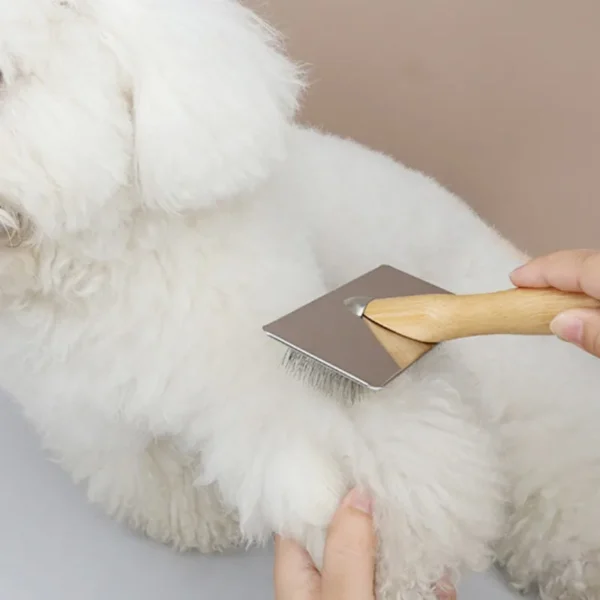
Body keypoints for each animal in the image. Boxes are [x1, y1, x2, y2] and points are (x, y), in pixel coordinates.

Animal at [1, 0, 600, 596]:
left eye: (7, 77)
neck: (97, 267)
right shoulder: (94, 418)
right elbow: (153, 472)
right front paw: (197, 519)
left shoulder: (276, 362)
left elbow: (356, 452)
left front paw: (393, 556)